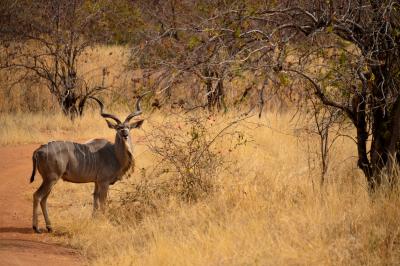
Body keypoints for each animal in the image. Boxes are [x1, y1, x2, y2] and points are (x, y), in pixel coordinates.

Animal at [30, 95, 145, 233]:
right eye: (118, 128)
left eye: (129, 127)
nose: (125, 134)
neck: (114, 154)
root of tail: (38, 150)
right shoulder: (104, 182)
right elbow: (102, 203)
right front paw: (104, 221)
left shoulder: (96, 182)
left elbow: (95, 200)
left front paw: (94, 220)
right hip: (51, 179)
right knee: (37, 196)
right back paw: (36, 227)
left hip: (50, 180)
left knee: (44, 199)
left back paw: (49, 227)